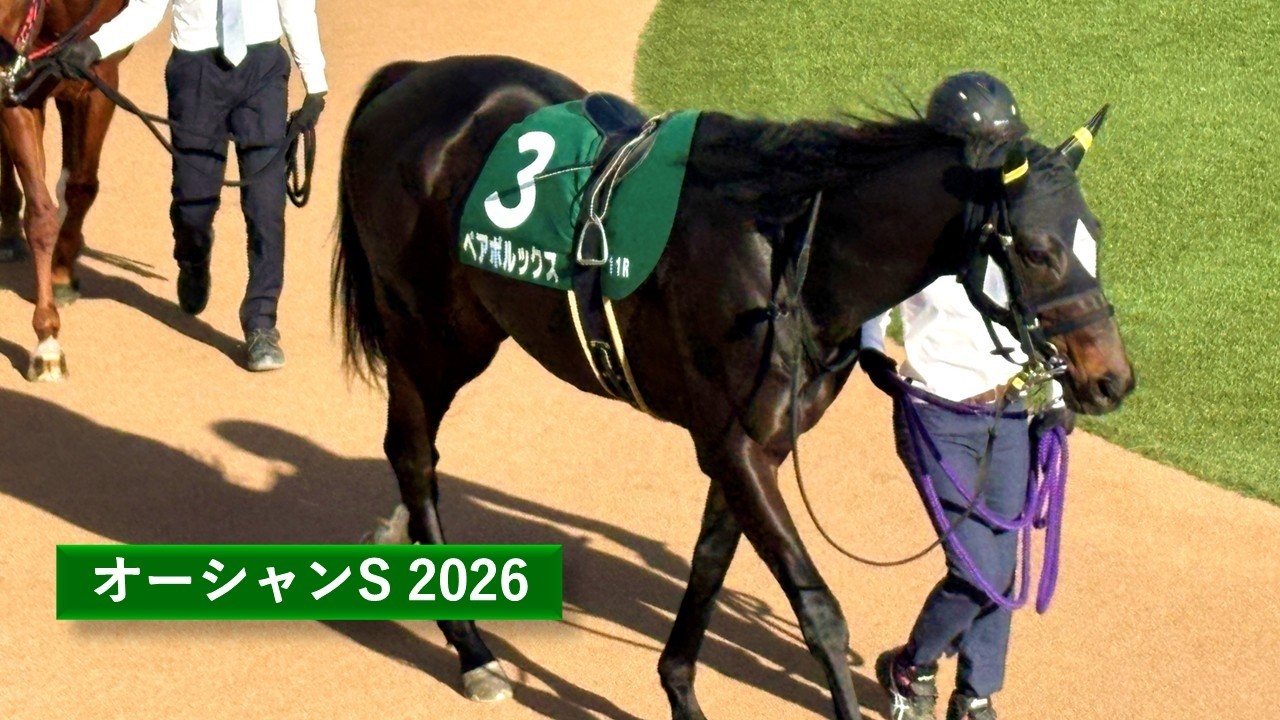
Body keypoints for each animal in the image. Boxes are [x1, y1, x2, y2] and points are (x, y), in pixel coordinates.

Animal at [0, 0, 128, 381]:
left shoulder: (97, 81)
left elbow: (81, 186)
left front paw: (60, 275)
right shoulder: (18, 90)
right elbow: (41, 214)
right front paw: (47, 341)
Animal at [333, 55, 1135, 720]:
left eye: (1094, 231)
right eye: (1039, 250)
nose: (1111, 379)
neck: (792, 253)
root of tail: (408, 78)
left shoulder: (754, 445)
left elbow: (709, 567)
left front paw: (680, 690)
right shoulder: (735, 443)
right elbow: (818, 610)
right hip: (431, 334)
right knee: (413, 453)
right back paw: (471, 647)